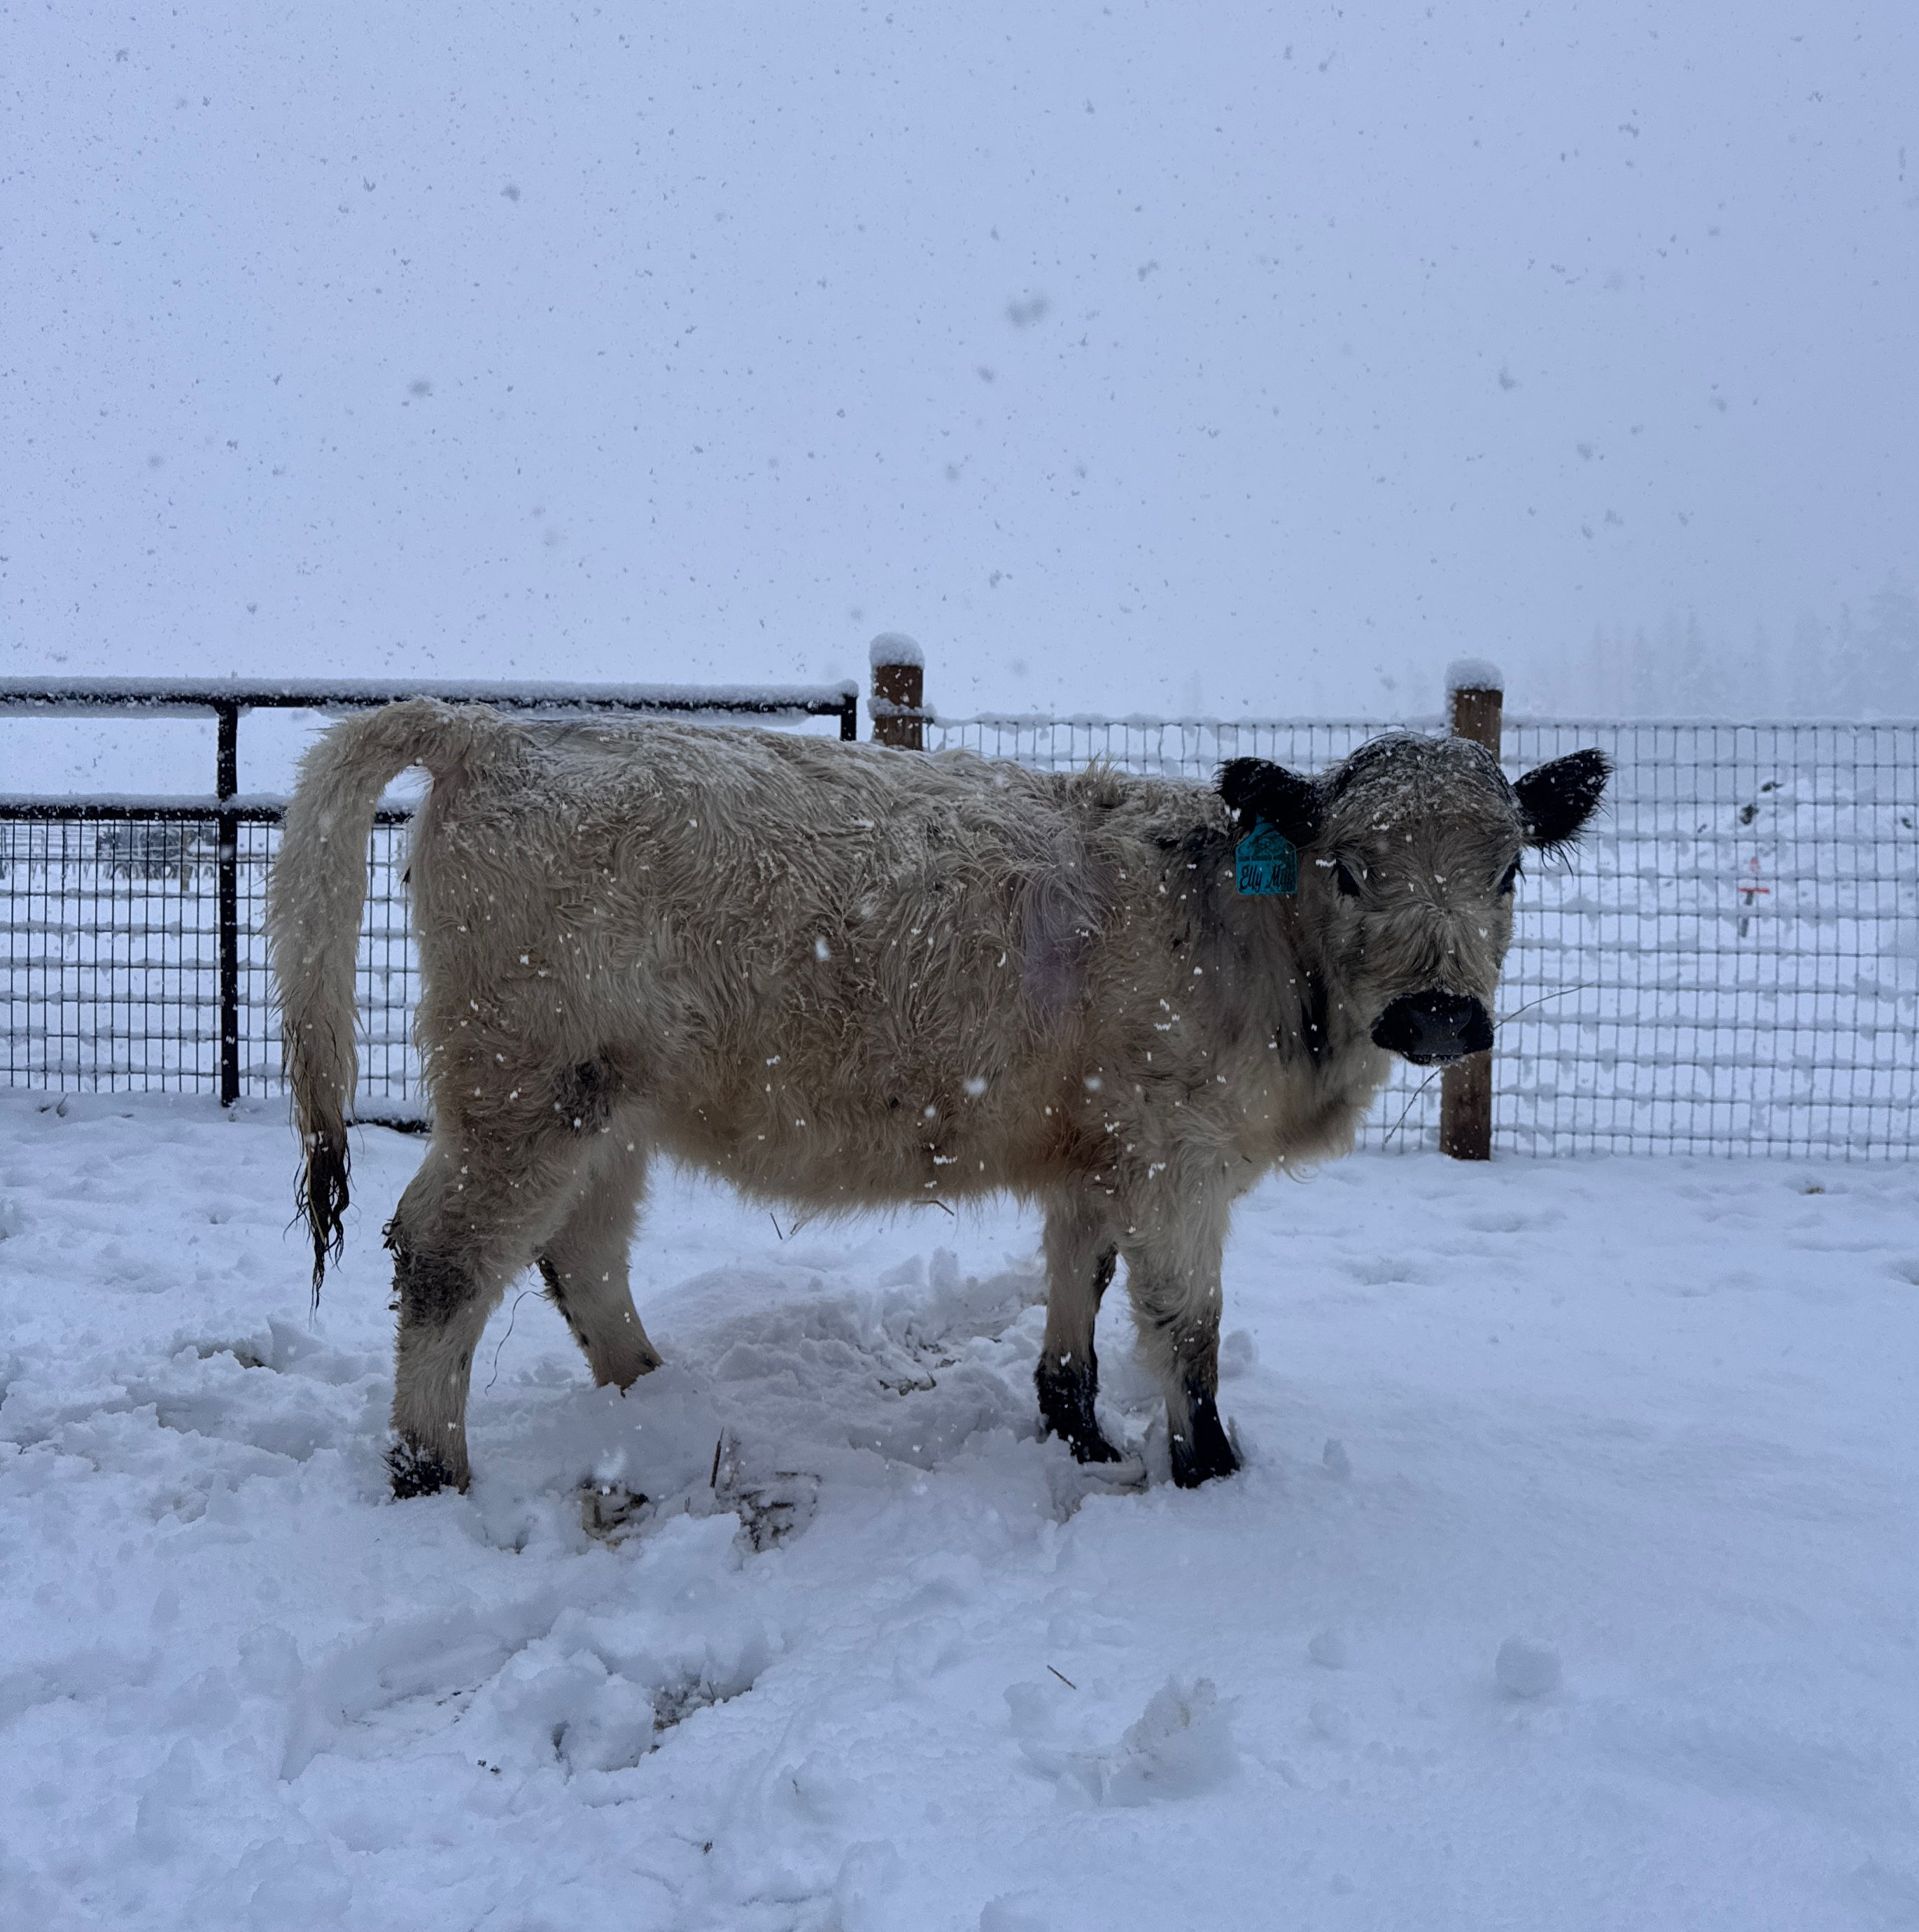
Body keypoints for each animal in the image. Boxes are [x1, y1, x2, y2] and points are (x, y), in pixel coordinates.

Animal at [267, 701, 1607, 1498]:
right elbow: (1187, 1325)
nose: (1438, 1013)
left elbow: (1082, 1281)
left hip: (605, 1106)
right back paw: (432, 1469)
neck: (1246, 935)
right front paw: (1210, 1473)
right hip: (524, 1090)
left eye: (1507, 869)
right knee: (443, 1253)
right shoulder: (1175, 1157)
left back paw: (661, 1393)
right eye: (1348, 867)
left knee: (580, 1255)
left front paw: (1075, 1429)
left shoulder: (1097, 1143)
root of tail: (490, 724)